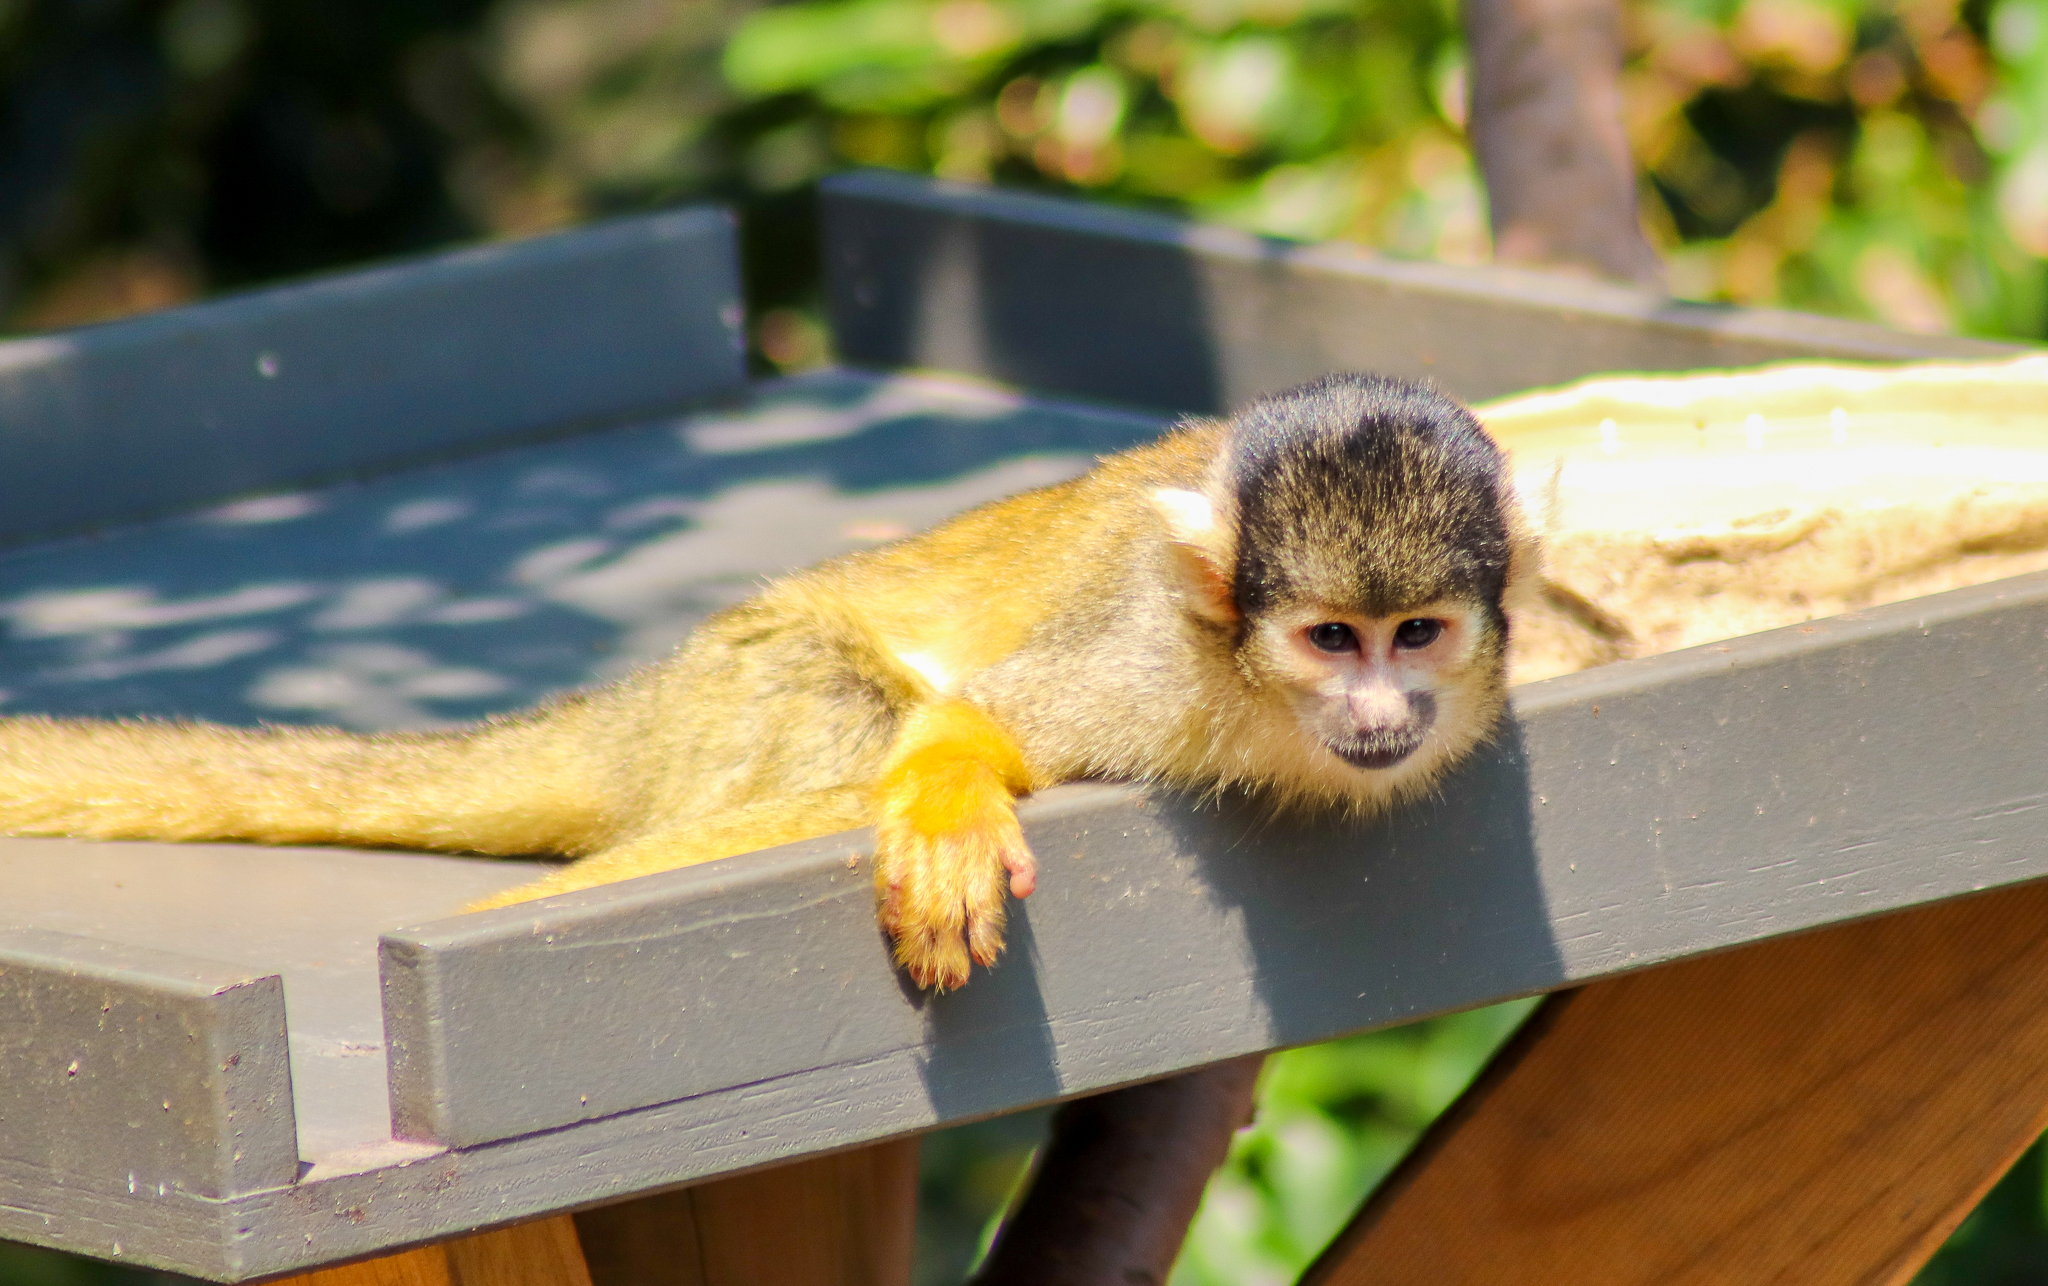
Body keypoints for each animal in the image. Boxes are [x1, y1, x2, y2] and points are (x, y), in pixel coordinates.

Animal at [0, 373, 1533, 991]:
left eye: (1416, 636)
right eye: (1330, 639)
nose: (1381, 712)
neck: (1265, 712)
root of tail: (645, 700)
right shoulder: (1157, 664)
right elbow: (977, 721)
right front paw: (947, 807)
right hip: (748, 689)